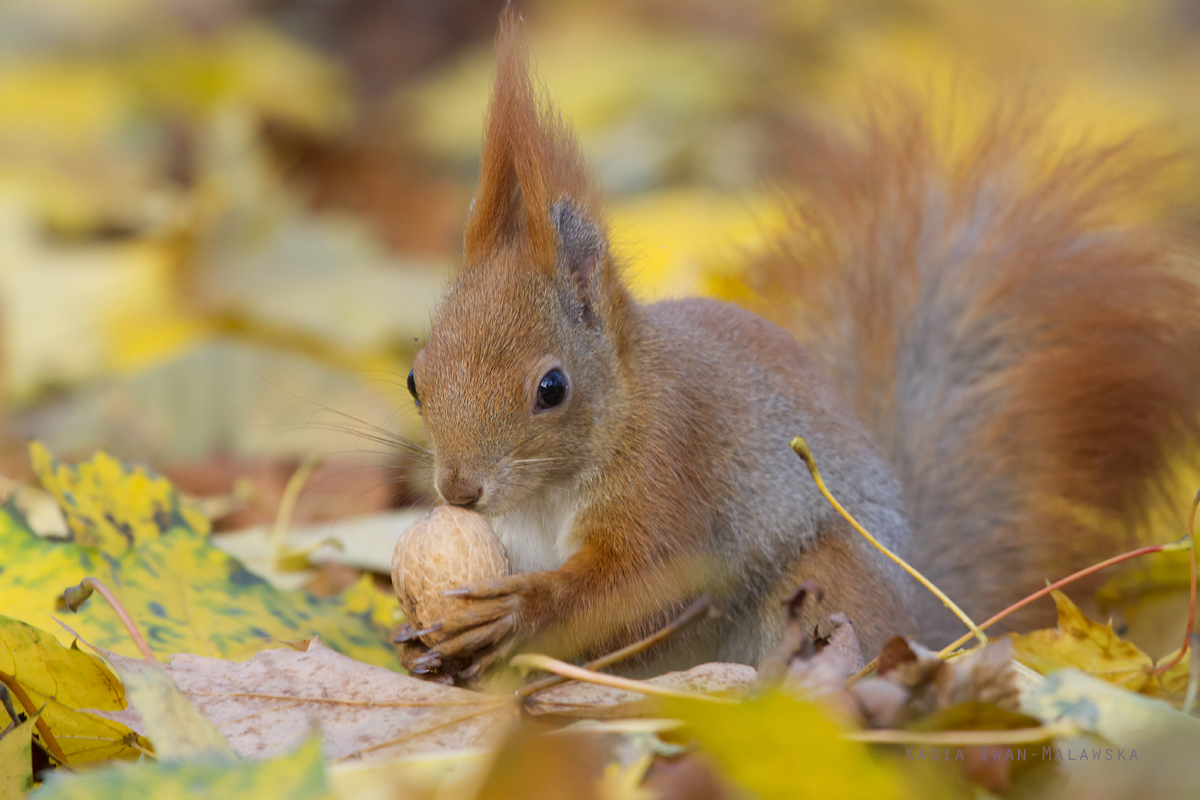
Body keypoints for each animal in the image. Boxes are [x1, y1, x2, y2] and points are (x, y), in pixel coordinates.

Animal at [398, 10, 1200, 681]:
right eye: (414, 378)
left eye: (552, 388)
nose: (459, 490)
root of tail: (921, 627)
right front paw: (423, 641)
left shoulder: (670, 466)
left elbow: (647, 583)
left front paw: (519, 612)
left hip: (827, 580)